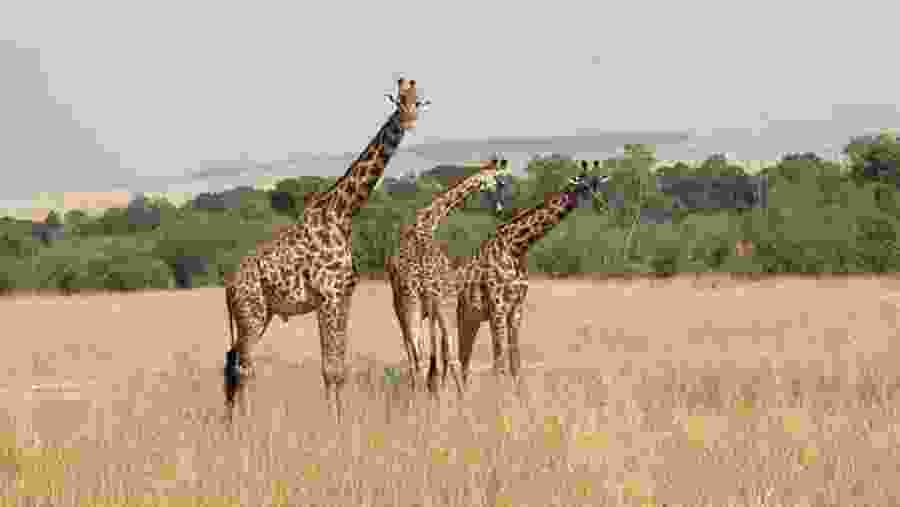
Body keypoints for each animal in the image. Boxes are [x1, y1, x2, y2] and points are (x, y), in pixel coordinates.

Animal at [223, 78, 429, 422]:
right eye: (398, 102)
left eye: (417, 101)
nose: (409, 121)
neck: (343, 213)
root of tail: (229, 284)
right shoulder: (328, 295)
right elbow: (330, 369)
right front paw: (334, 425)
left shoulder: (343, 295)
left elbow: (338, 368)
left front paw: (340, 421)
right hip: (251, 313)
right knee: (243, 367)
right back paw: (246, 425)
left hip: (258, 315)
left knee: (233, 362)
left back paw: (233, 422)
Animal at [385, 158, 511, 396]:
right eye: (499, 182)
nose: (501, 209)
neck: (426, 222)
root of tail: (425, 279)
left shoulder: (403, 307)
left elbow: (416, 352)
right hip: (439, 306)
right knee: (446, 353)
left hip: (422, 304)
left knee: (422, 354)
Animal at [455, 164, 608, 387]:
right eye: (583, 186)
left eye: (598, 184)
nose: (601, 206)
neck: (516, 248)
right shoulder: (498, 307)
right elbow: (500, 364)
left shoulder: (516, 308)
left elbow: (515, 363)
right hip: (465, 316)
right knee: (463, 358)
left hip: (476, 318)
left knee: (467, 360)